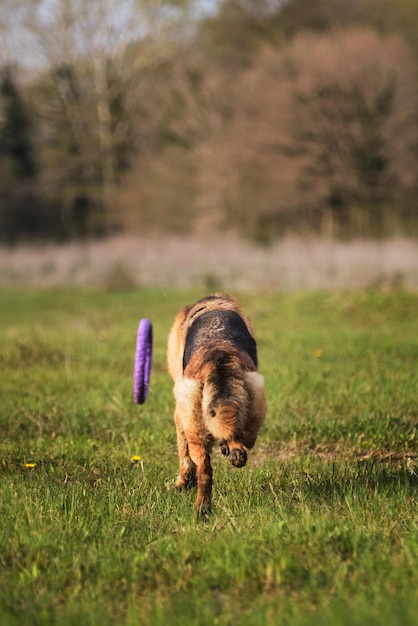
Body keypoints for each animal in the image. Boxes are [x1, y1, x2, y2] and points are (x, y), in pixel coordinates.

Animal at [166, 292, 266, 512]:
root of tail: (218, 359)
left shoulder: (180, 417)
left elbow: (184, 454)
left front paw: (183, 483)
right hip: (255, 400)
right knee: (238, 439)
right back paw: (234, 454)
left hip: (193, 425)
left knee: (204, 468)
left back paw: (201, 508)